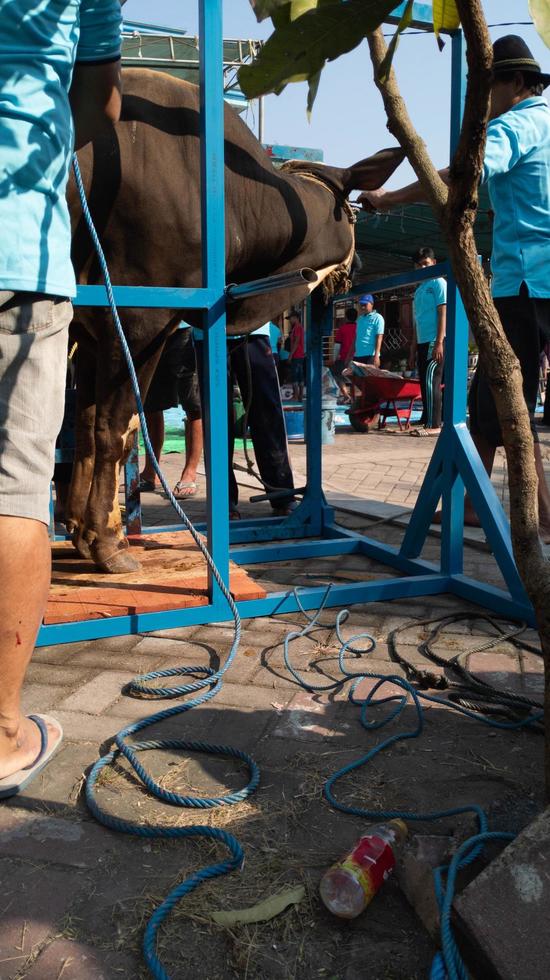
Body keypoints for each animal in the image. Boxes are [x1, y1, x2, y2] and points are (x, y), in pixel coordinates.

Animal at [68, 69, 406, 572]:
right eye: (353, 216)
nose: (359, 269)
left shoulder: (90, 330)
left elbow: (85, 429)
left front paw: (78, 530)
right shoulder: (136, 316)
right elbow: (117, 430)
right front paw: (106, 542)